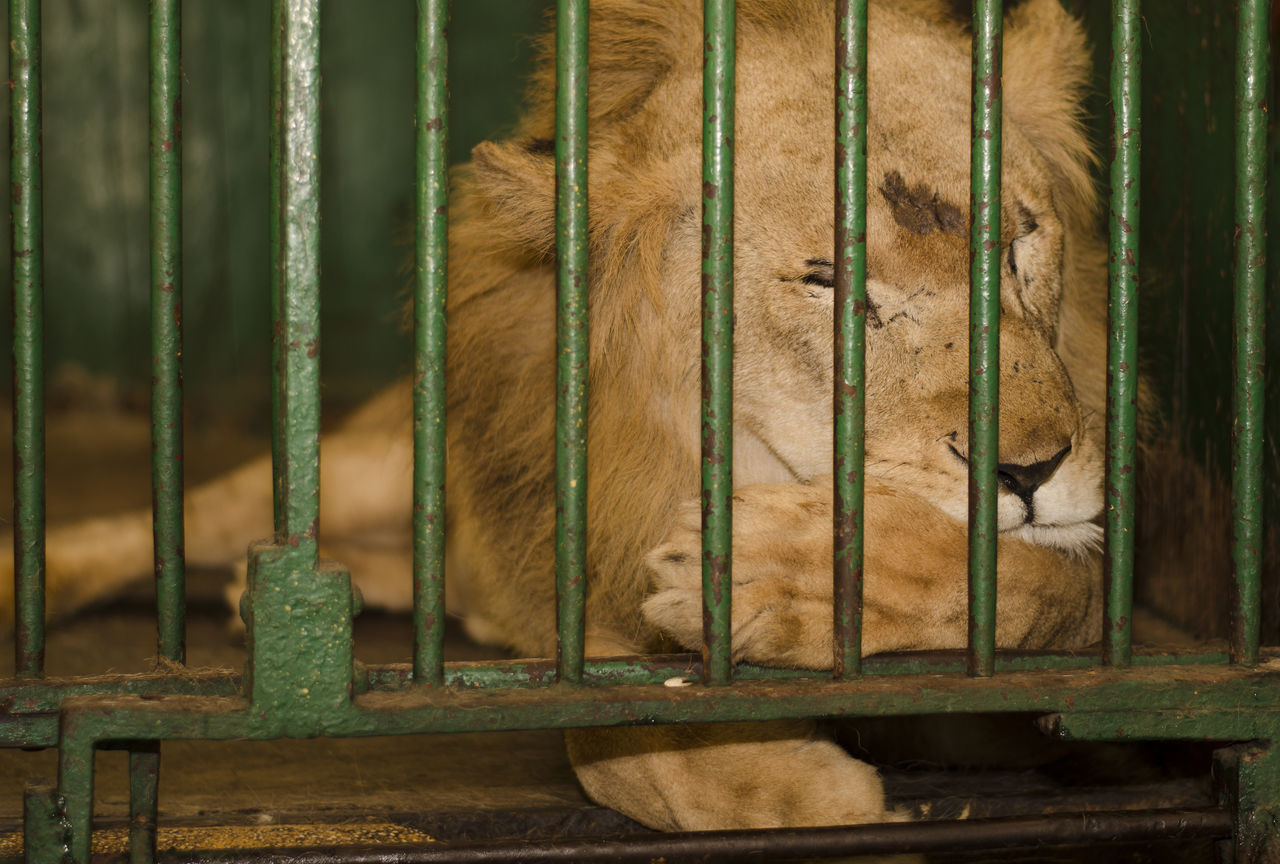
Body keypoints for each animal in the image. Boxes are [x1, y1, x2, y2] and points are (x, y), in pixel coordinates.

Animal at [5, 0, 1111, 834]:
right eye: (827, 281)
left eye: (1018, 241)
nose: (1033, 468)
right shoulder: (577, 579)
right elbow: (610, 723)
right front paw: (781, 782)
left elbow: (1028, 587)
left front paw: (767, 580)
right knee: (163, 526)